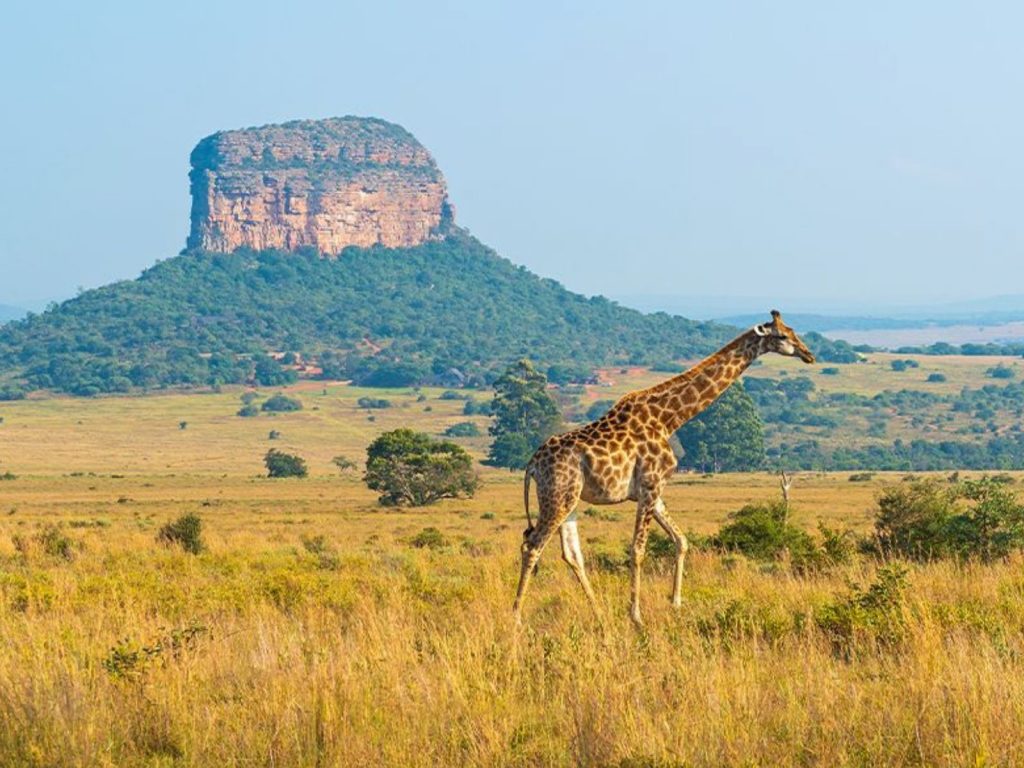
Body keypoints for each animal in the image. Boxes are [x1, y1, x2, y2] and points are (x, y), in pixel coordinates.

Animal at [513, 310, 815, 626]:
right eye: (782, 335)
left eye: (793, 330)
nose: (809, 354)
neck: (669, 419)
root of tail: (532, 463)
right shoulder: (650, 485)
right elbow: (638, 549)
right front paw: (636, 616)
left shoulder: (654, 491)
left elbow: (681, 540)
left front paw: (676, 603)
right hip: (558, 496)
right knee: (532, 546)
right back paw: (517, 617)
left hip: (569, 500)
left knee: (571, 554)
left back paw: (599, 613)